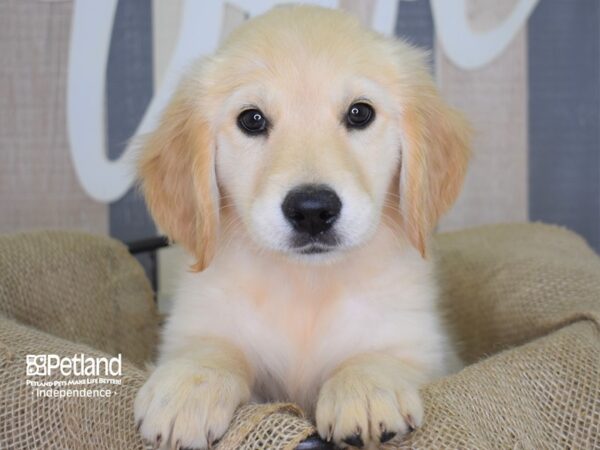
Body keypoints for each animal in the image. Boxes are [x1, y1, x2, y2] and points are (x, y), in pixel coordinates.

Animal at [135, 4, 468, 450]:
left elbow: (380, 354)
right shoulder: (199, 321)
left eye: (360, 113)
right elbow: (211, 347)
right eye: (252, 119)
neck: (307, 285)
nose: (312, 210)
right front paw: (189, 386)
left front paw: (365, 388)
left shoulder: (421, 342)